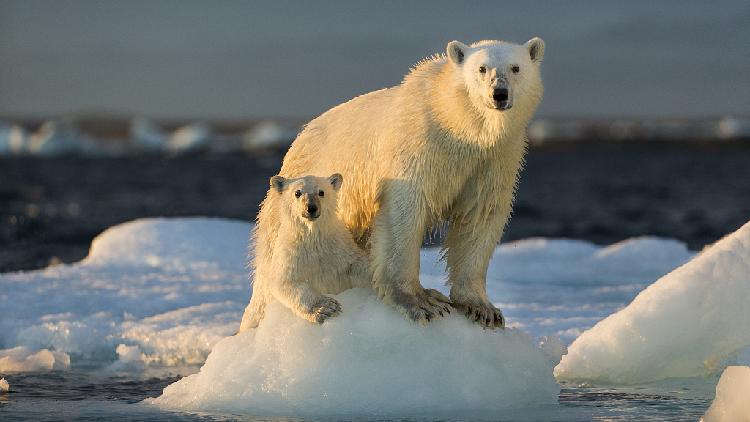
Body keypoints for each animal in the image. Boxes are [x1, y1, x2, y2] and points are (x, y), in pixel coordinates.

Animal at [274, 38, 544, 330]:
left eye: (516, 67)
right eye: (482, 68)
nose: (500, 93)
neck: (457, 126)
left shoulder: (495, 158)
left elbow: (481, 213)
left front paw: (482, 308)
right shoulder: (417, 143)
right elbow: (404, 210)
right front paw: (422, 301)